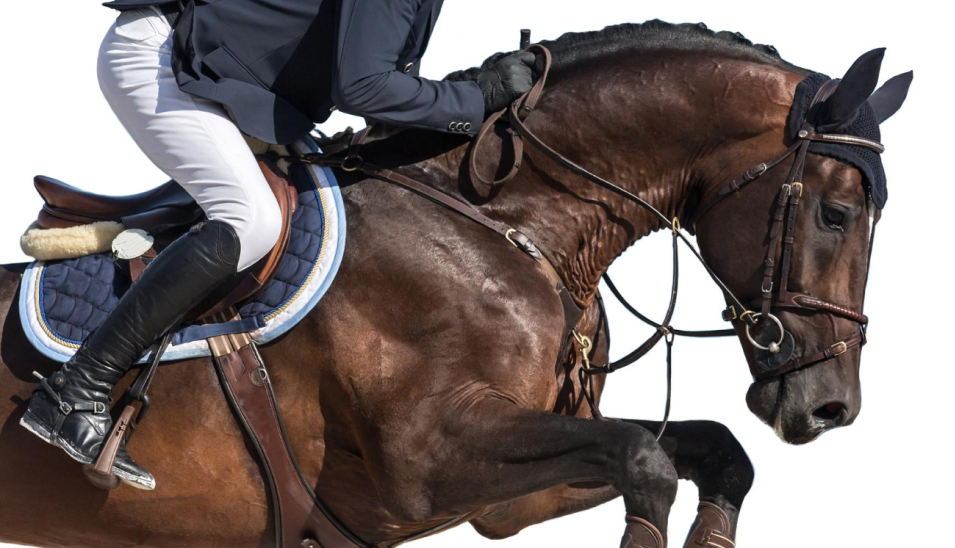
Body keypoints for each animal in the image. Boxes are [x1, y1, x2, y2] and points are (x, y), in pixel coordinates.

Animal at [0, 20, 910, 548]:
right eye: (835, 212)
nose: (829, 406)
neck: (505, 223)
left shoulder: (501, 498)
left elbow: (711, 450)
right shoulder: (429, 462)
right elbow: (645, 458)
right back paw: (71, 418)